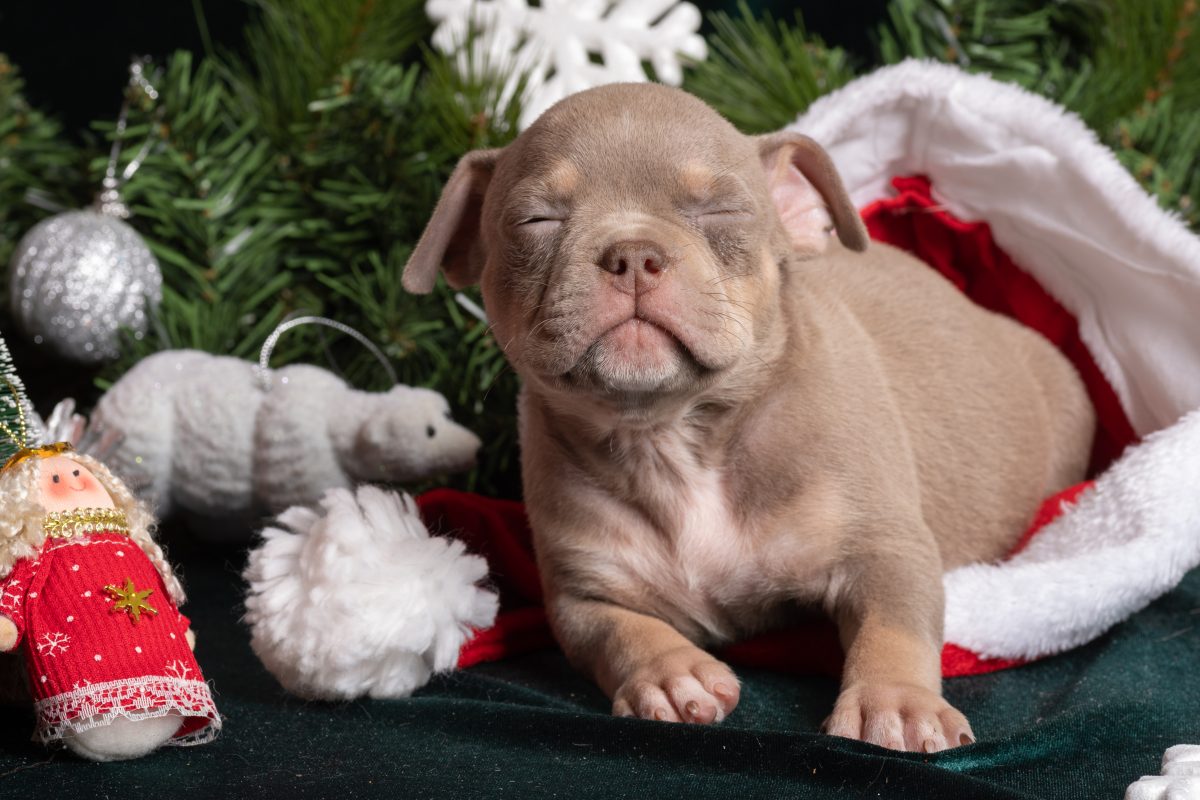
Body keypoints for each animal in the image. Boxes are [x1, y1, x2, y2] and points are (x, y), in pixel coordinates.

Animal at [403, 84, 1099, 753]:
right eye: (536, 220)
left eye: (722, 213)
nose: (632, 253)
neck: (671, 435)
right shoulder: (584, 588)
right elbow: (617, 630)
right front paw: (669, 672)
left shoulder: (882, 546)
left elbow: (893, 623)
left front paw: (895, 705)